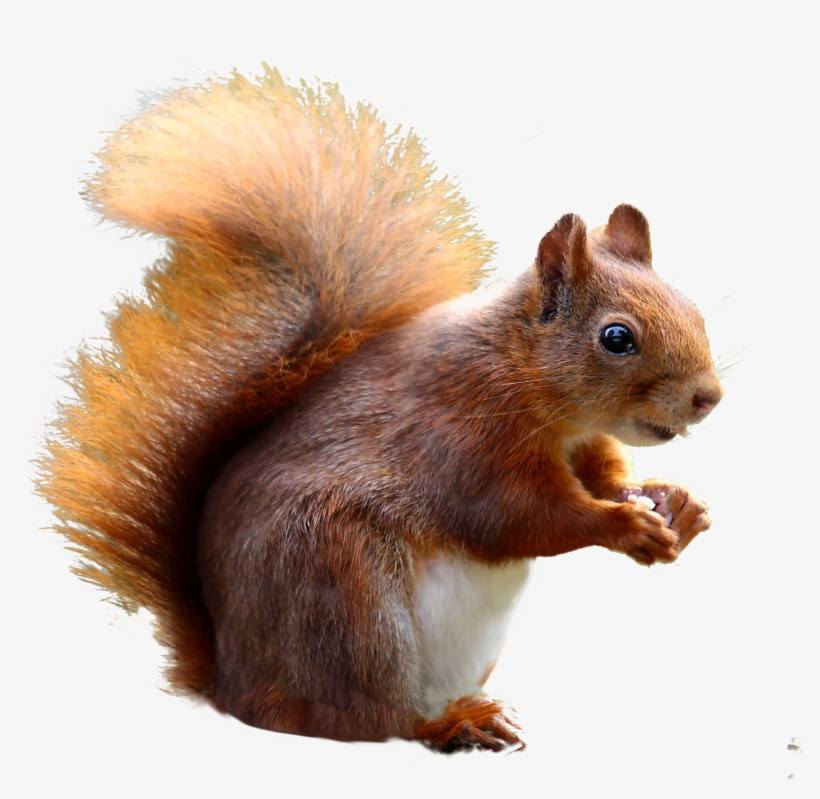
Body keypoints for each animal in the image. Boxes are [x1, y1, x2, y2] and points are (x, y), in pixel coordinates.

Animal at [37, 67, 723, 752]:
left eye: (692, 307)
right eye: (617, 337)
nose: (709, 397)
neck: (533, 387)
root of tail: (232, 687)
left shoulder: (583, 443)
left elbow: (604, 477)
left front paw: (673, 501)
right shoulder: (464, 435)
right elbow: (522, 517)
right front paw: (625, 527)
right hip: (345, 596)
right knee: (373, 721)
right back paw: (453, 723)